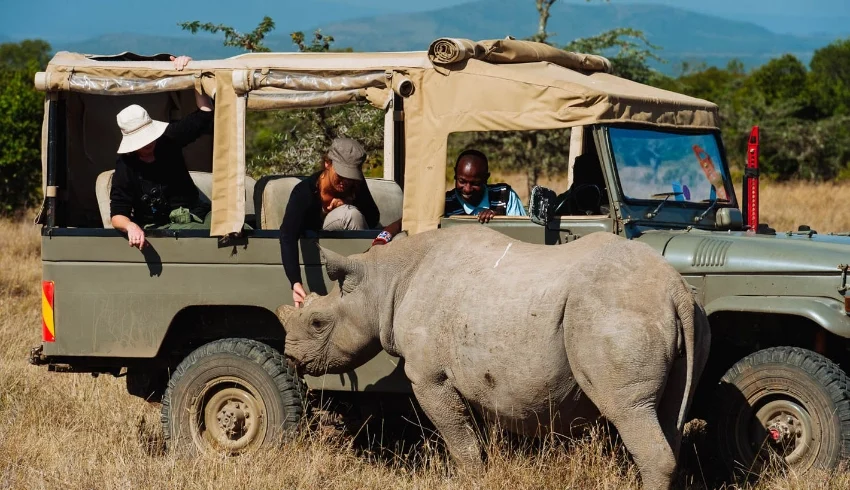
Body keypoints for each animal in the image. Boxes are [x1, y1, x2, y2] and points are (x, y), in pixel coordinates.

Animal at [278, 226, 710, 489]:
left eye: (317, 322)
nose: (290, 356)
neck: (385, 280)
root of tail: (675, 288)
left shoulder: (430, 377)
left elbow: (459, 440)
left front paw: (467, 480)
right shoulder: (477, 376)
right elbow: (480, 434)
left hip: (614, 311)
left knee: (629, 409)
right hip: (681, 316)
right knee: (669, 414)